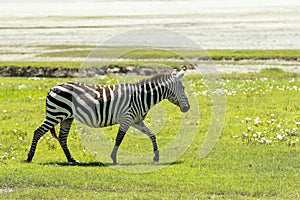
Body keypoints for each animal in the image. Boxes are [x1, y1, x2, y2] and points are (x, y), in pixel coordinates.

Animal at [25, 67, 190, 164]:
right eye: (183, 88)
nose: (187, 108)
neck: (141, 97)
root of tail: (53, 87)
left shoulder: (136, 121)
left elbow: (152, 134)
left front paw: (156, 157)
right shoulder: (126, 119)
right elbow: (119, 139)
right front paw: (114, 159)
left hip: (66, 117)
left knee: (63, 137)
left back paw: (72, 159)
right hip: (56, 114)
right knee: (38, 132)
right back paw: (29, 157)